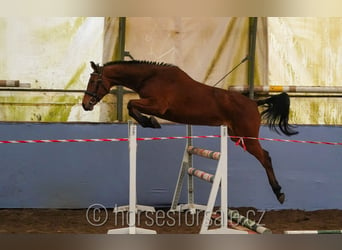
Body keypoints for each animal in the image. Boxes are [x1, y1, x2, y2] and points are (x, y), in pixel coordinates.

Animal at [82, 59, 296, 204]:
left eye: (94, 82)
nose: (85, 105)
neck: (150, 77)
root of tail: (253, 102)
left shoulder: (158, 106)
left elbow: (131, 104)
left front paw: (150, 122)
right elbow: (131, 106)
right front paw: (148, 122)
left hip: (247, 138)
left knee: (265, 157)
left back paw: (279, 192)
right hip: (236, 136)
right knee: (264, 156)